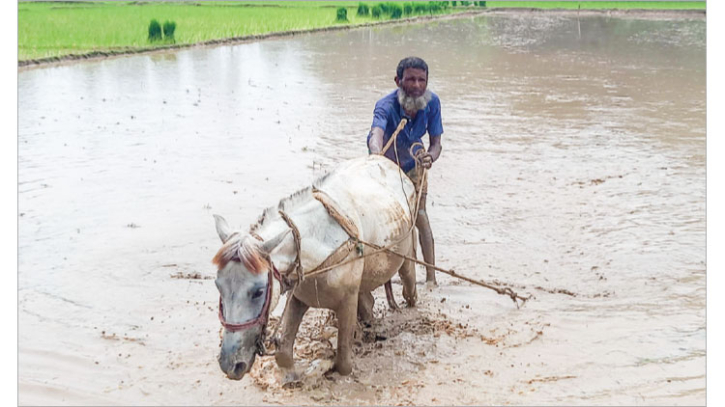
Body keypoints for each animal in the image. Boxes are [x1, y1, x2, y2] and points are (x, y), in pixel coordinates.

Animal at [212, 157, 416, 382]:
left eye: (258, 292)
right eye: (218, 286)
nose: (230, 365)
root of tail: (388, 161)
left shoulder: (347, 301)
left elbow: (343, 364)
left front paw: (324, 365)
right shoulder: (298, 297)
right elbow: (283, 355)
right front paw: (295, 376)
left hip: (407, 253)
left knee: (409, 285)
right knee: (368, 302)